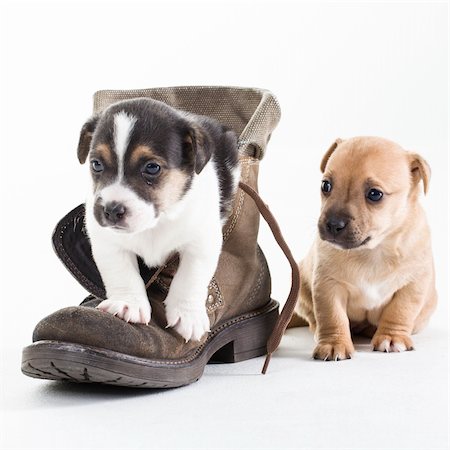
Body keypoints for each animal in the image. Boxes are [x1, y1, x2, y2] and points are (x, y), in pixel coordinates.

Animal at [77, 98, 241, 342]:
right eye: (96, 164)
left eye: (152, 167)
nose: (111, 210)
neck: (155, 223)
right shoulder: (107, 241)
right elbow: (122, 273)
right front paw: (127, 304)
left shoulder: (202, 242)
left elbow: (190, 278)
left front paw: (188, 315)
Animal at [292, 135, 436, 360]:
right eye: (326, 186)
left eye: (375, 194)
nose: (333, 225)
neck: (373, 251)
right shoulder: (327, 285)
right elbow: (332, 316)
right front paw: (334, 343)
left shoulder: (413, 284)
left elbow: (399, 311)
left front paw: (392, 337)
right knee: (314, 319)